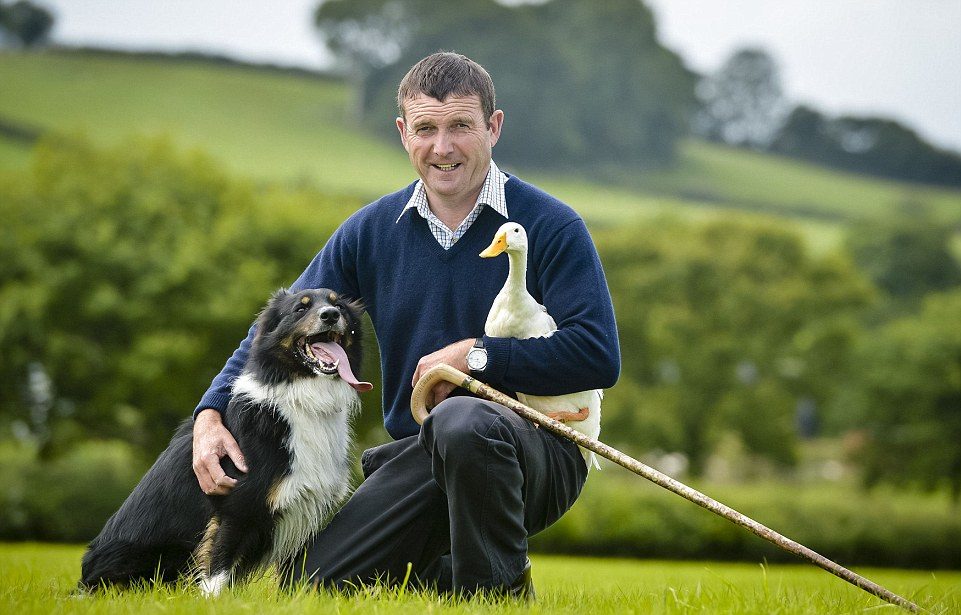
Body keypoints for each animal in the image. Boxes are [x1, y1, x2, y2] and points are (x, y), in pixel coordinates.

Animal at [80, 290, 372, 596]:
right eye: (300, 309)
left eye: (338, 305)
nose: (330, 315)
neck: (304, 399)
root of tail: (86, 579)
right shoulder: (236, 506)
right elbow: (218, 569)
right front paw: (213, 600)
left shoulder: (305, 507)